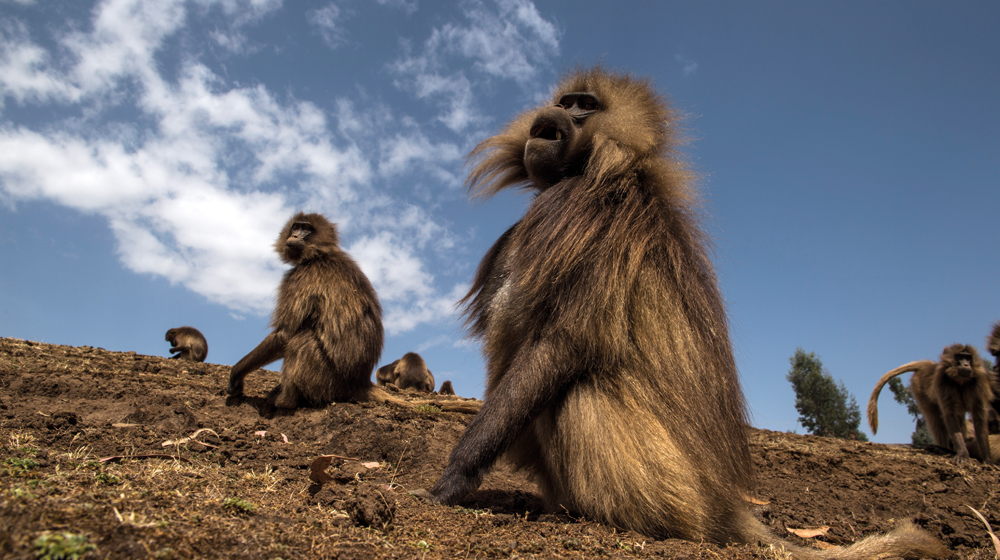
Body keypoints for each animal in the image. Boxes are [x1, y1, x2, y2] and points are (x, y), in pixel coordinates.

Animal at [226, 212, 383, 408]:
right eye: (296, 227)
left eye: (306, 229)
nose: (294, 236)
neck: (319, 254)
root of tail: (360, 383)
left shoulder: (298, 278)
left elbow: (283, 334)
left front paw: (236, 374)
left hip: (327, 381)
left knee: (302, 339)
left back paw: (285, 401)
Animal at [418, 67, 945, 558]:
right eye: (566, 102)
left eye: (585, 106)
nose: (553, 115)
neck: (612, 165)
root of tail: (726, 508)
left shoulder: (582, 212)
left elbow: (565, 342)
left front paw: (452, 478)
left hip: (670, 490)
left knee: (576, 390)